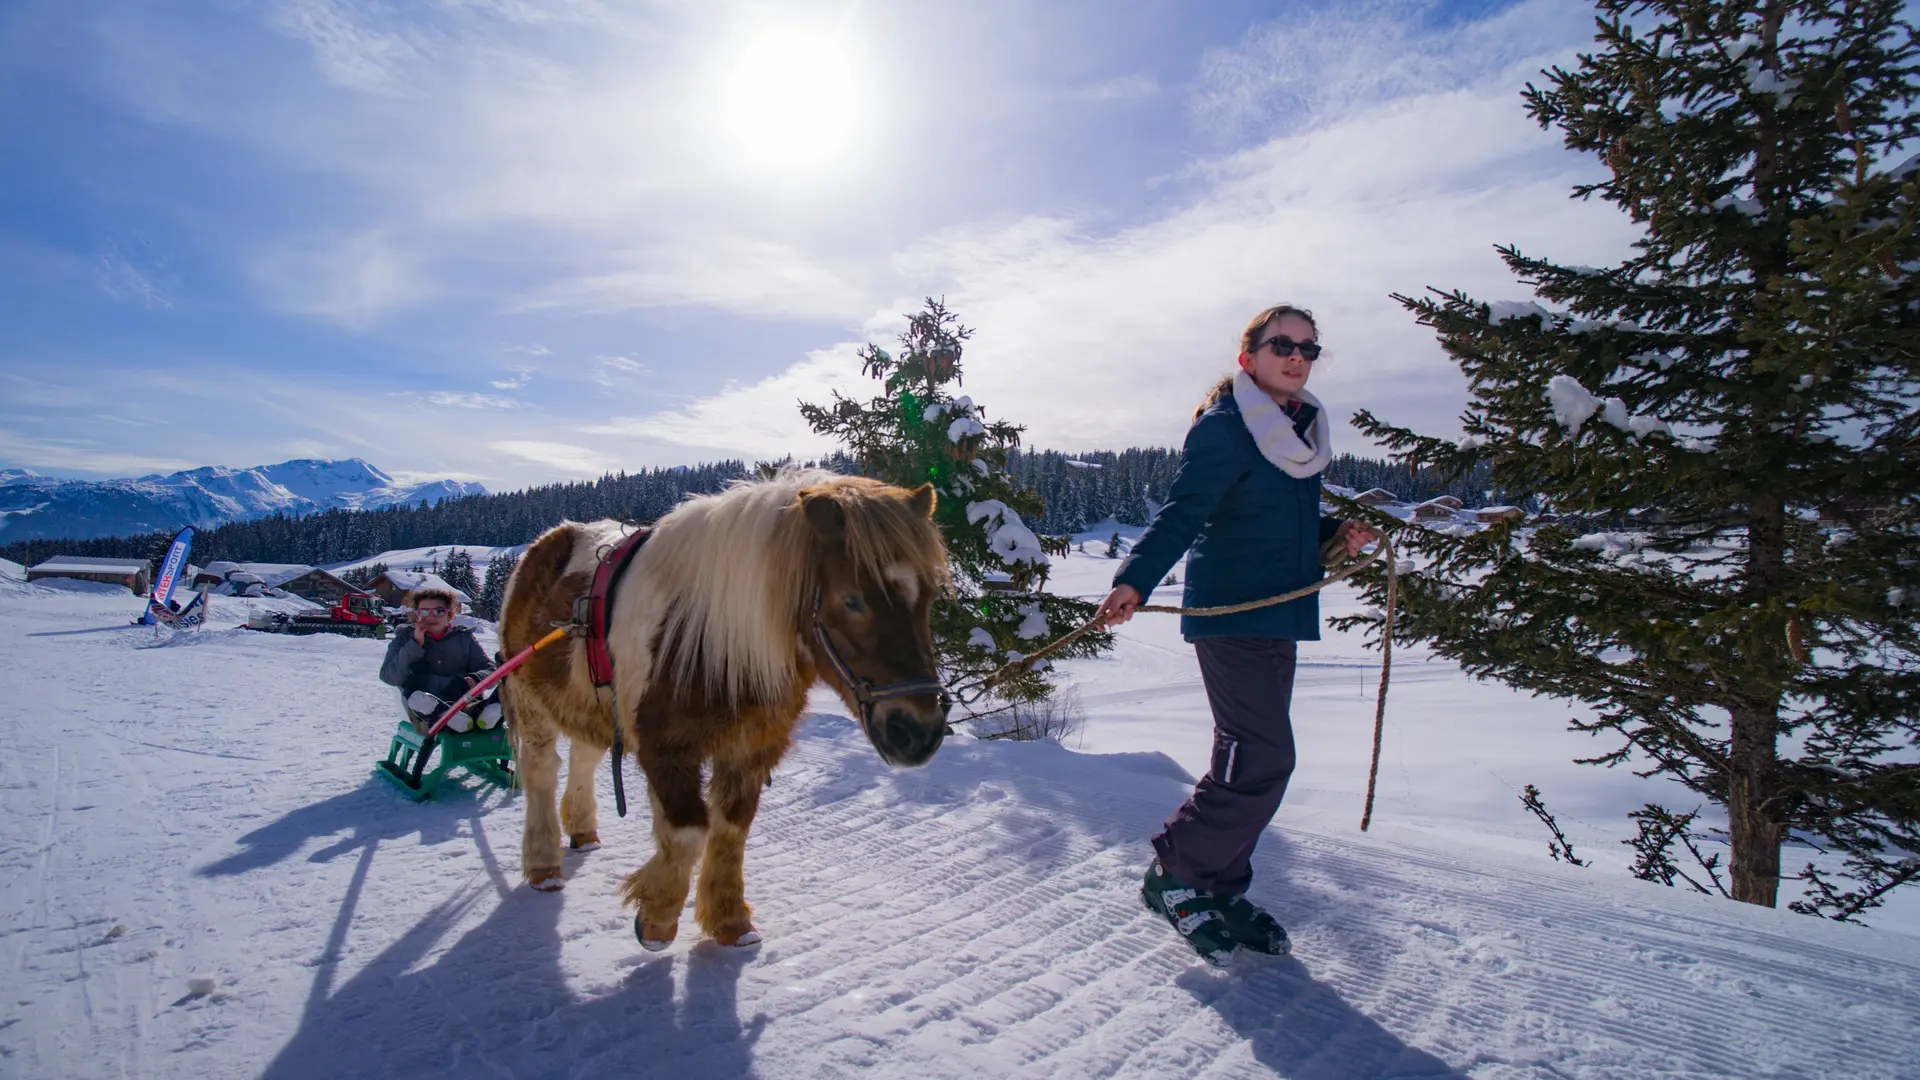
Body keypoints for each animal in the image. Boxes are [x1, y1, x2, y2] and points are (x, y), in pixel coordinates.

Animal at [495, 466, 944, 945]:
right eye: (851, 599)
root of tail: (546, 541)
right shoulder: (666, 749)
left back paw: (582, 829)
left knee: (583, 756)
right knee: (542, 770)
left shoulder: (750, 749)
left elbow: (731, 829)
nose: (920, 733)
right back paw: (543, 865)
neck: (711, 639)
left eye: (929, 596)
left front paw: (730, 921)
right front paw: (657, 915)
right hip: (529, 699)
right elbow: (690, 829)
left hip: (590, 704)